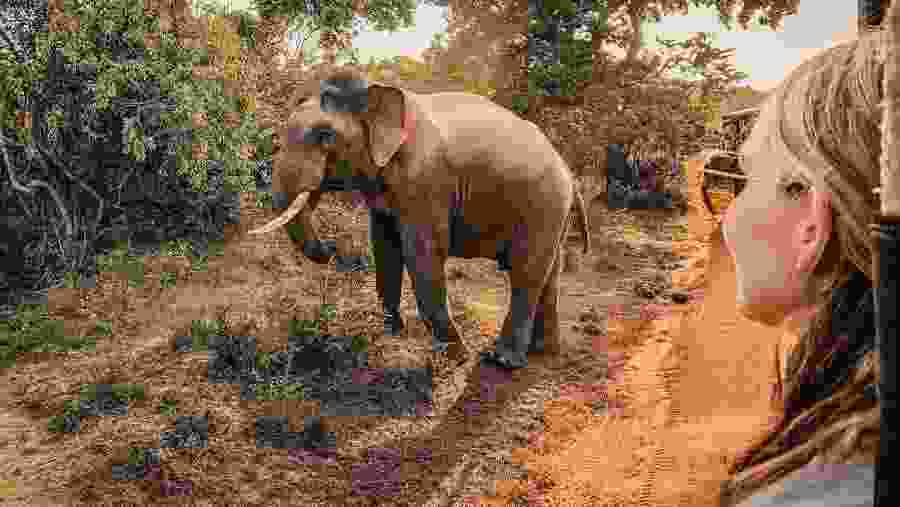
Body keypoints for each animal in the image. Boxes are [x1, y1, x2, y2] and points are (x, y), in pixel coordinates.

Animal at [249, 68, 590, 370]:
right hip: (552, 212)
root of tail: (569, 173)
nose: (332, 249)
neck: (373, 88)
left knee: (526, 273)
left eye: (324, 136)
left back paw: (501, 362)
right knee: (549, 275)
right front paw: (390, 333)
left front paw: (456, 357)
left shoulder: (424, 180)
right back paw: (543, 353)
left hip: (543, 205)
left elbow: (421, 253)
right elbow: (385, 247)